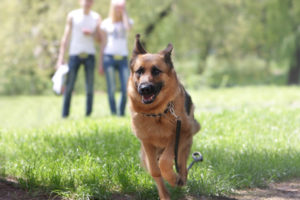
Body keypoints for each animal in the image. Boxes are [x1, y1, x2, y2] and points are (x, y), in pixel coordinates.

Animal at [127, 34, 200, 198]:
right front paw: (164, 194)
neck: (156, 113)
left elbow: (166, 162)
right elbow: (155, 170)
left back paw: (181, 178)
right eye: (139, 71)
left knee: (181, 161)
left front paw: (173, 178)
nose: (144, 89)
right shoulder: (147, 143)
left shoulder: (180, 134)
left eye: (156, 71)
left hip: (186, 139)